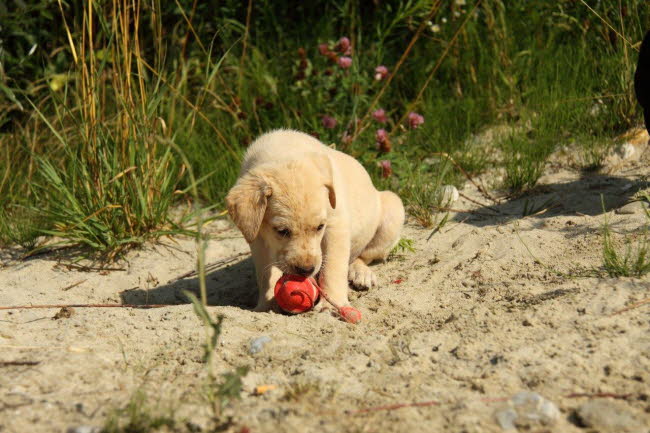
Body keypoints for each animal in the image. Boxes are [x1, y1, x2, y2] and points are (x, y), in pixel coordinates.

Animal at [225, 128, 402, 310]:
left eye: (320, 227)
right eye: (282, 231)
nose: (306, 270)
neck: (285, 151)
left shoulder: (335, 224)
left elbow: (332, 267)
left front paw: (331, 304)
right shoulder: (257, 237)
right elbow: (265, 272)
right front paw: (266, 306)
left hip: (393, 213)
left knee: (363, 256)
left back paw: (361, 273)